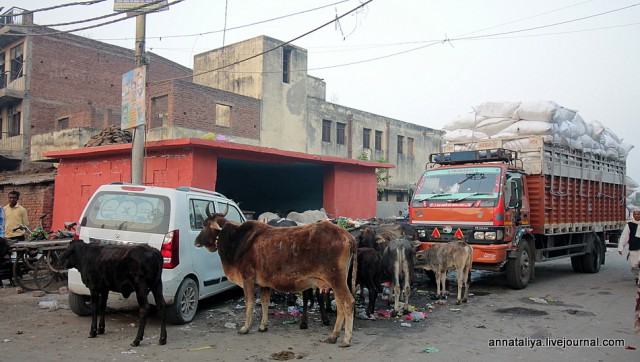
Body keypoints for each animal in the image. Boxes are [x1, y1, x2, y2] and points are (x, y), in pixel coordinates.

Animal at [195, 208, 358, 346]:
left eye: (204, 224)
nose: (196, 241)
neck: (236, 239)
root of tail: (348, 236)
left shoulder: (247, 278)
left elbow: (249, 302)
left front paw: (245, 327)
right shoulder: (264, 284)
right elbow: (265, 302)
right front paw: (263, 326)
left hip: (336, 279)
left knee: (348, 302)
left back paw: (346, 339)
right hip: (336, 282)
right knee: (340, 305)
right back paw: (333, 336)